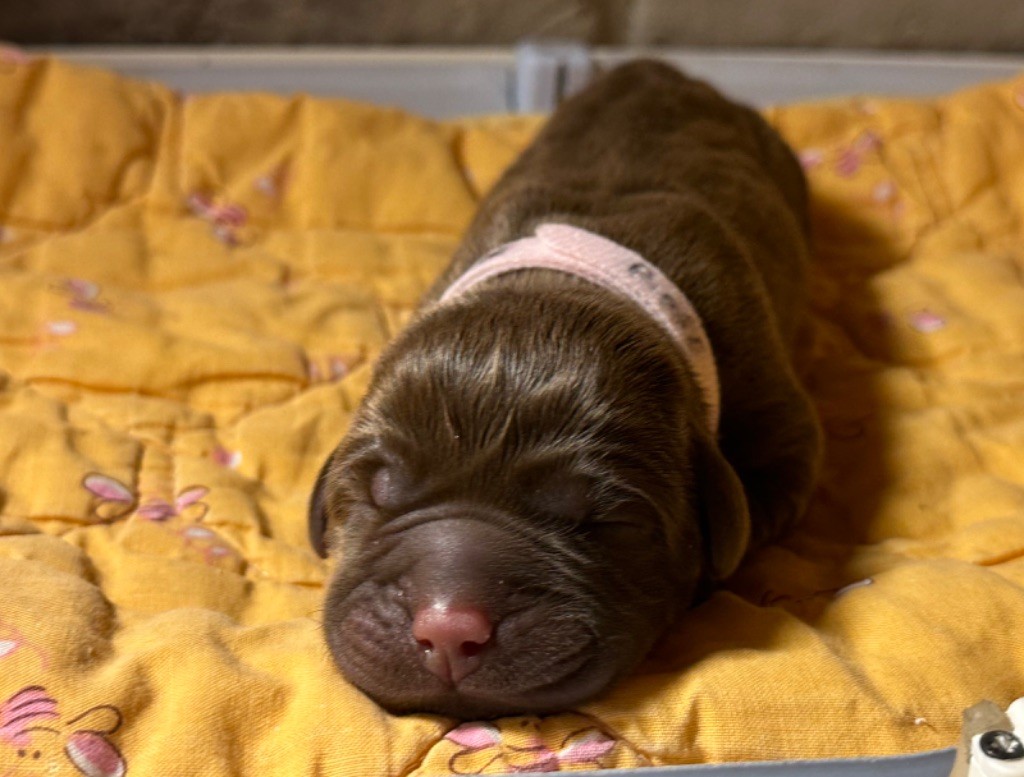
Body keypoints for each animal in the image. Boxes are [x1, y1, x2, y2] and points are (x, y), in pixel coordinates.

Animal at [308, 59, 822, 719]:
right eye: (379, 489)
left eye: (605, 520)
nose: (447, 629)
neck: (563, 279)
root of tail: (659, 68)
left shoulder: (776, 413)